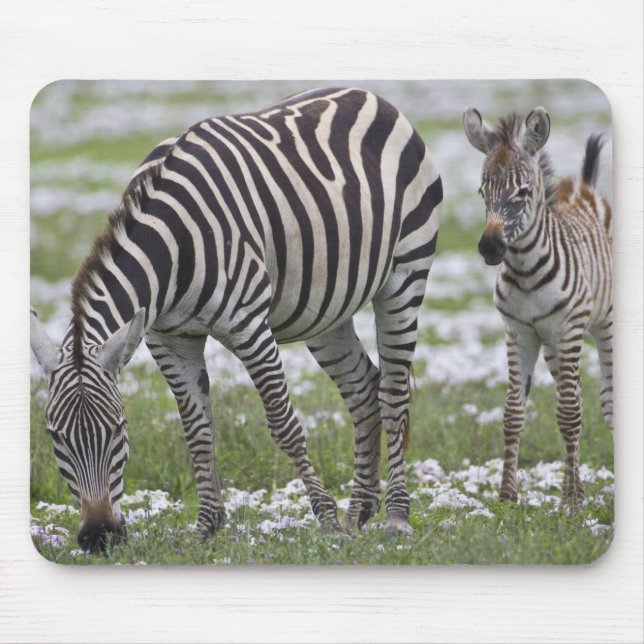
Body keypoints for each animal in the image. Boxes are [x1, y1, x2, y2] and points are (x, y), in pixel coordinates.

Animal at [31, 87, 443, 552]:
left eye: (119, 430)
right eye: (54, 437)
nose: (99, 537)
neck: (172, 248)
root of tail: (371, 96)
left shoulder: (247, 324)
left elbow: (283, 424)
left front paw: (324, 520)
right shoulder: (168, 339)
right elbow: (196, 430)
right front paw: (207, 526)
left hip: (405, 273)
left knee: (393, 393)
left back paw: (396, 516)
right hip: (326, 309)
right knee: (363, 388)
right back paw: (359, 511)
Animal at [463, 106, 612, 514]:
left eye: (523, 192)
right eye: (482, 191)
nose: (490, 247)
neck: (527, 273)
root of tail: (586, 185)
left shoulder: (568, 328)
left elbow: (569, 414)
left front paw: (571, 507)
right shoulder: (520, 333)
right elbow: (514, 413)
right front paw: (506, 498)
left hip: (602, 325)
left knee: (603, 399)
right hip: (553, 347)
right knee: (576, 394)